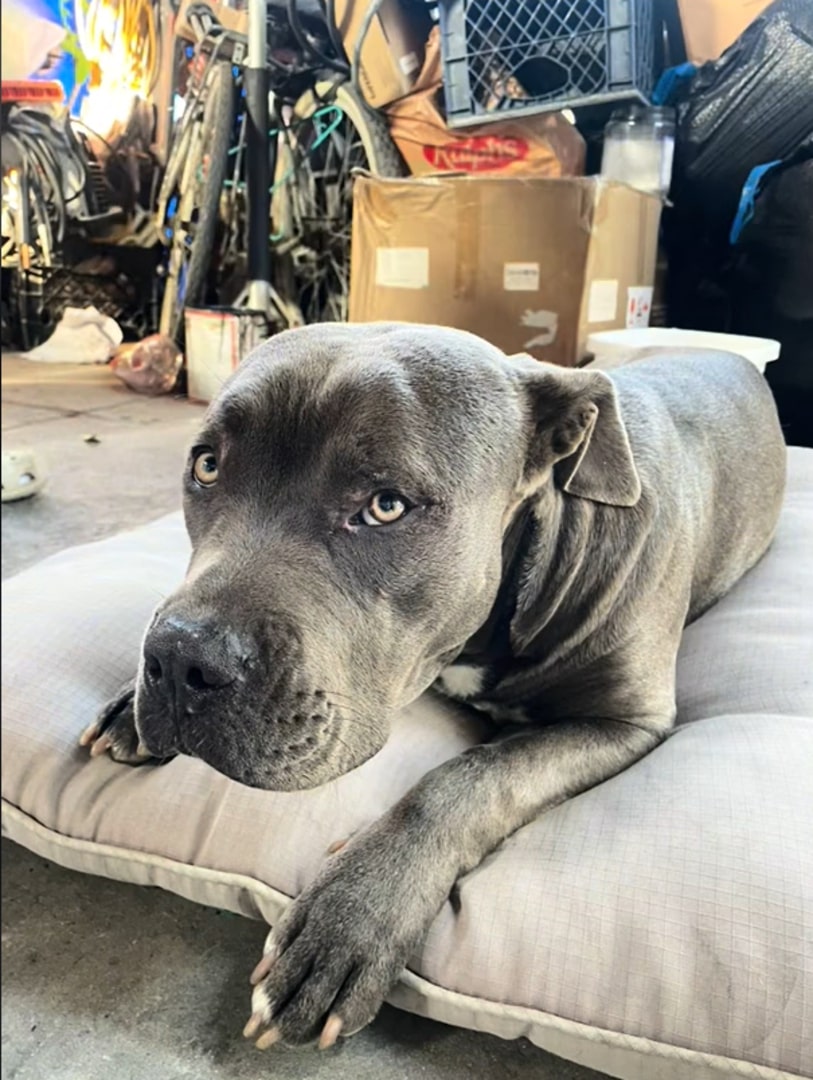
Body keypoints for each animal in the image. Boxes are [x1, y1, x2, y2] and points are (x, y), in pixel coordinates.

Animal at [79, 319, 781, 1045]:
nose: (178, 661)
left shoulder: (625, 723)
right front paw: (131, 705)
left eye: (386, 506)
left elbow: (473, 777)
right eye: (207, 465)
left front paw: (351, 917)